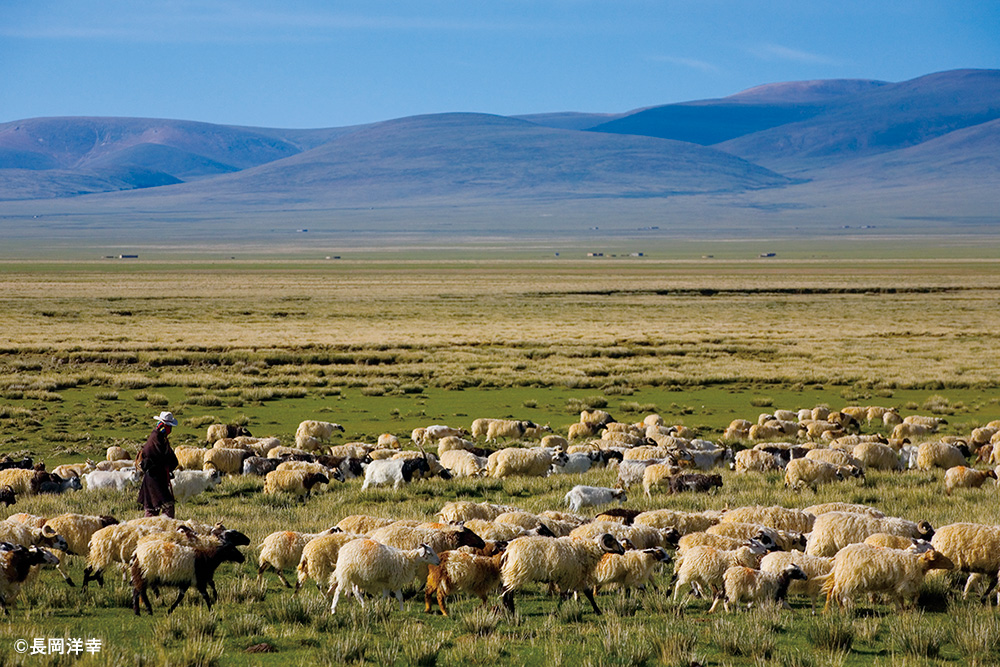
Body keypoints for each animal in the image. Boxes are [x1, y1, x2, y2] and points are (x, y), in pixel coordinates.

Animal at [824, 544, 956, 612]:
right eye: (940, 558)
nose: (952, 564)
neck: (917, 563)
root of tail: (839, 554)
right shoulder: (905, 583)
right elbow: (915, 595)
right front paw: (911, 608)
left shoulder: (895, 585)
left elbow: (899, 598)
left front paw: (901, 610)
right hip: (847, 578)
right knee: (837, 593)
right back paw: (842, 610)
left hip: (841, 576)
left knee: (831, 590)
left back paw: (827, 610)